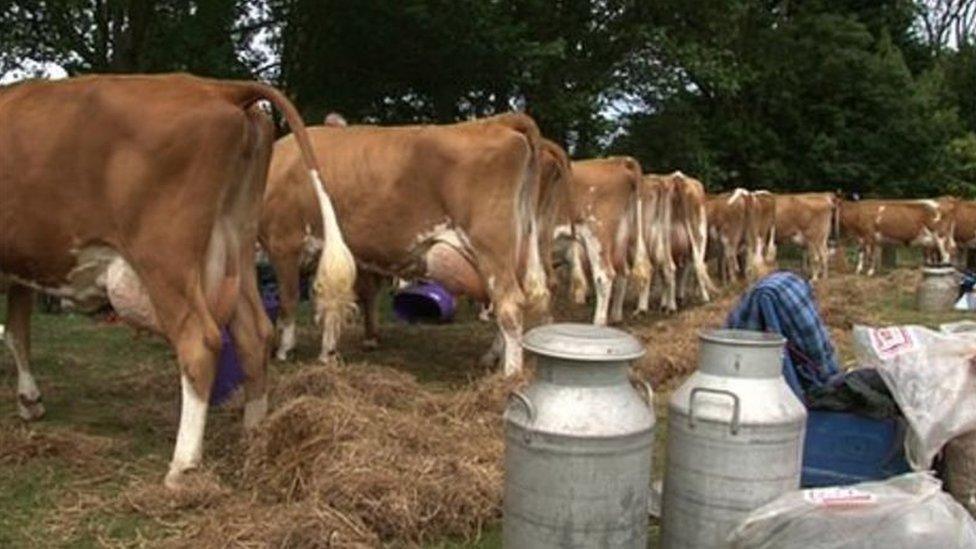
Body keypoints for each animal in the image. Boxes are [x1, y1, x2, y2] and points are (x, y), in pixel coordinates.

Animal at [0, 74, 358, 488]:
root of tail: (218, 88)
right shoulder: (22, 266)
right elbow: (18, 332)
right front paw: (29, 400)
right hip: (238, 245)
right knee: (254, 334)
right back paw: (254, 431)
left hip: (165, 258)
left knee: (199, 342)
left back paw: (183, 464)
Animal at [260, 113, 544, 374]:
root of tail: (498, 121)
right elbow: (330, 302)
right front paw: (327, 355)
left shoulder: (284, 243)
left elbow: (288, 300)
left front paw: (284, 350)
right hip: (515, 251)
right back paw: (494, 360)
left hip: (490, 247)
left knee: (509, 304)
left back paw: (509, 375)